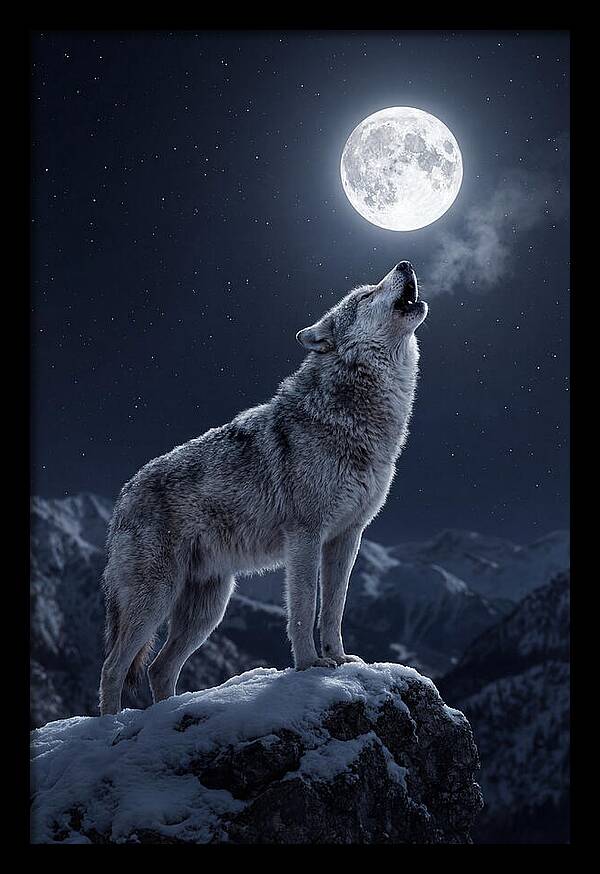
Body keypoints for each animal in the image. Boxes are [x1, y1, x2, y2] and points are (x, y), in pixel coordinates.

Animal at [99, 261, 428, 715]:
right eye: (365, 295)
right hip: (155, 600)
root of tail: (123, 495)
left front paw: (340, 659)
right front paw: (310, 666)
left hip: (208, 609)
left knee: (158, 668)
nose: (405, 264)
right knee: (113, 667)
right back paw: (109, 726)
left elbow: (334, 609)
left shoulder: (347, 537)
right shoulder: (305, 535)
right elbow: (305, 607)